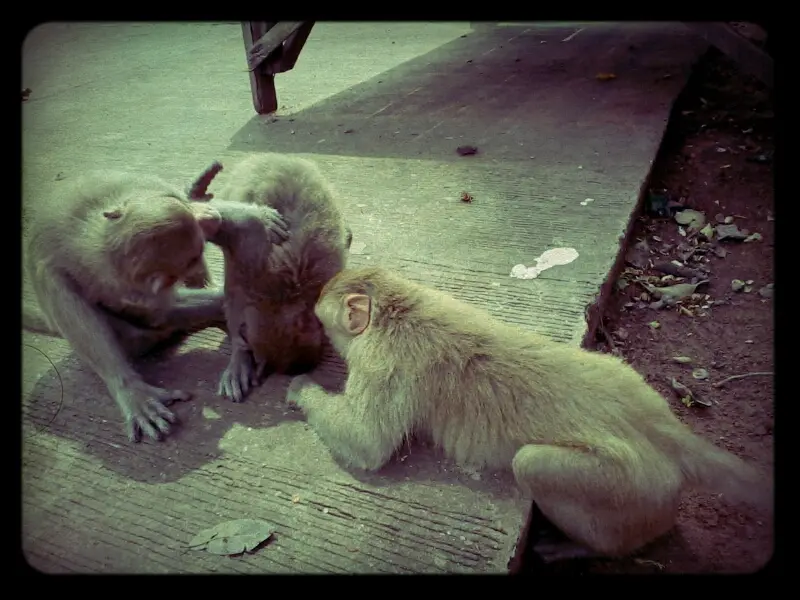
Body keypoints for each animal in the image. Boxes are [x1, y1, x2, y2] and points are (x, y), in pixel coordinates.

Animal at [22, 168, 289, 442]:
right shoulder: (117, 283)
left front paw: (253, 216)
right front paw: (130, 389)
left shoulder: (134, 186)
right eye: (193, 251)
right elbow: (158, 310)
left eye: (180, 203)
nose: (208, 215)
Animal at [285, 267, 773, 559]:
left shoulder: (380, 362)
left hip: (634, 488)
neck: (397, 309)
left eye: (320, 320)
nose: (316, 340)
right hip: (626, 379)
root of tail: (661, 428)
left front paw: (300, 389)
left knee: (533, 464)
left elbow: (367, 444)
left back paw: (588, 548)